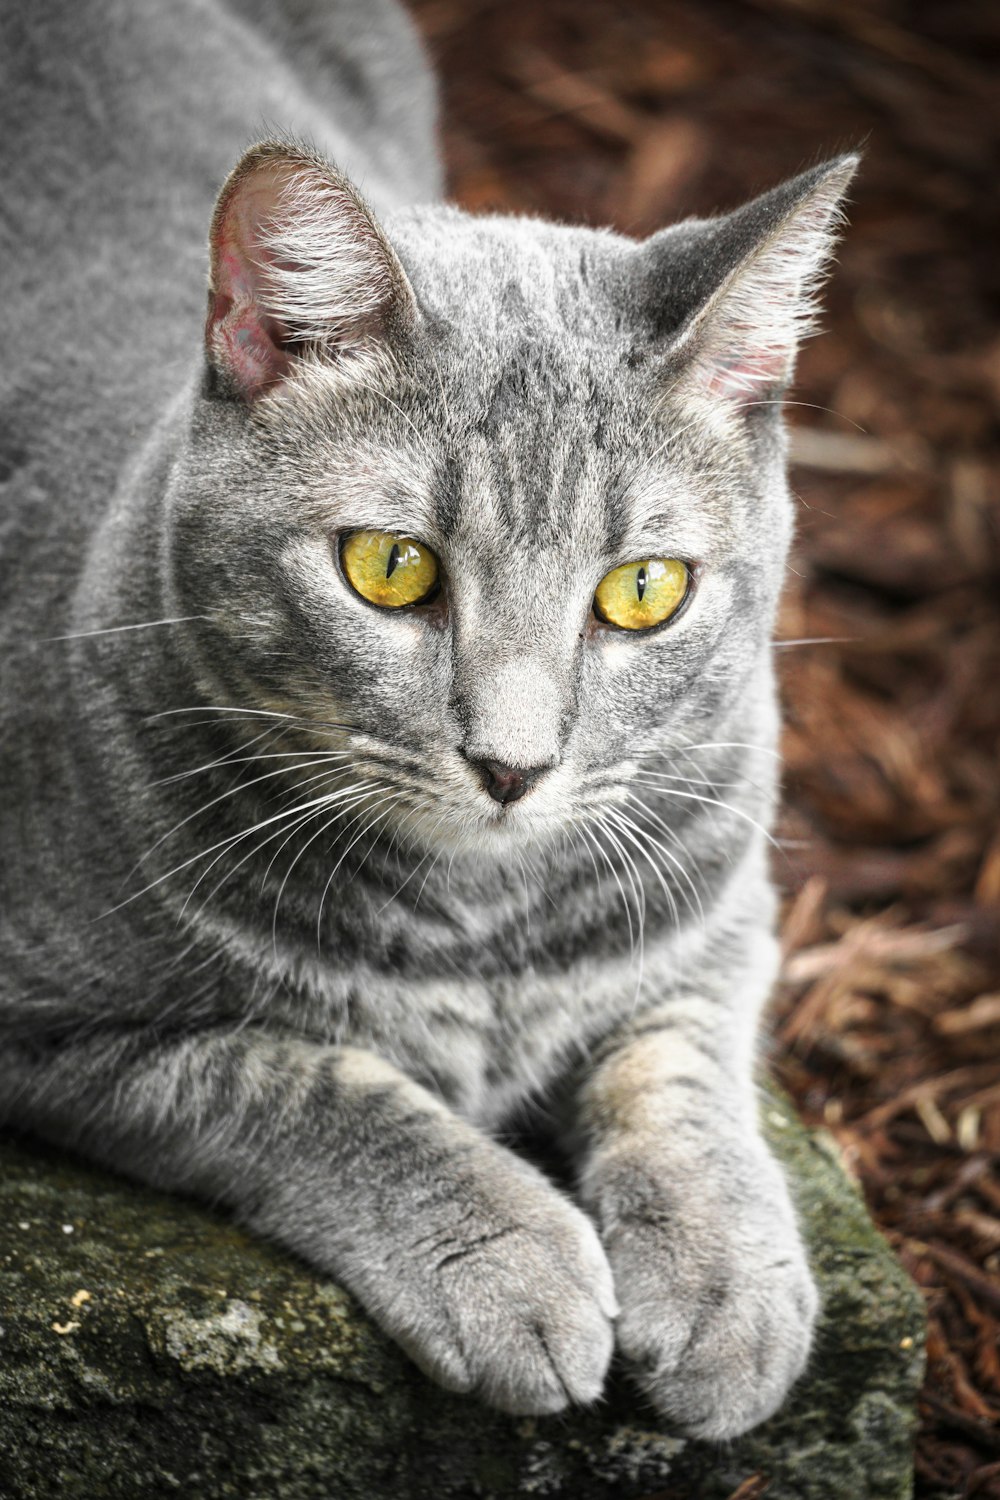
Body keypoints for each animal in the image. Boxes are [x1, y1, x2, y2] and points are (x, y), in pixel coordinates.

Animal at [1, 0, 851, 1440]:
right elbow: (301, 1079)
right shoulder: (57, 1027)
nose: (513, 764)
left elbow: (681, 1068)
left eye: (643, 589)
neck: (480, 931)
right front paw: (508, 1258)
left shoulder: (722, 916)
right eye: (390, 569)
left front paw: (730, 1275)